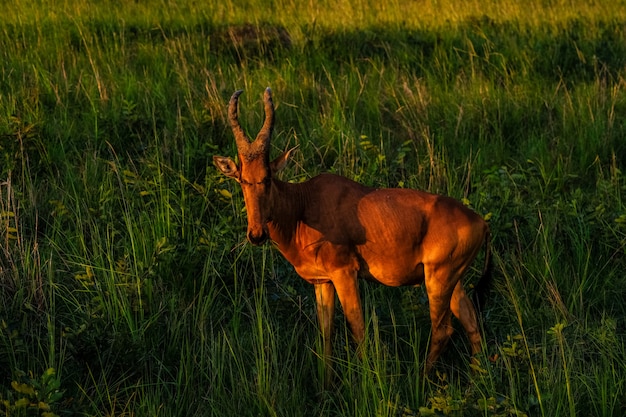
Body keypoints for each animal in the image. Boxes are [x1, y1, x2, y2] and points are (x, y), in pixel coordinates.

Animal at [212, 88, 490, 380]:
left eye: (267, 177)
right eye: (242, 179)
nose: (256, 234)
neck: (303, 204)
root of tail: (481, 222)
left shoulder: (345, 274)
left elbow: (358, 329)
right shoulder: (323, 282)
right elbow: (326, 334)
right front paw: (326, 385)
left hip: (438, 279)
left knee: (443, 329)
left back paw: (421, 378)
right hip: (453, 280)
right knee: (471, 322)